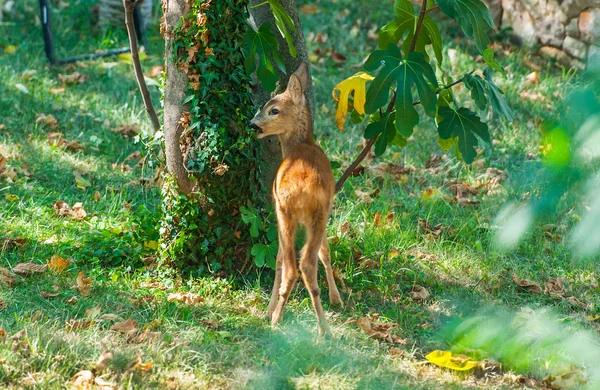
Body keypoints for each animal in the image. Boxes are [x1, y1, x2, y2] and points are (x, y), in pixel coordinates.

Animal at [248, 62, 342, 336]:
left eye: (273, 110)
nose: (252, 124)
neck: (302, 144)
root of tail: (301, 188)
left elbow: (279, 260)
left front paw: (269, 310)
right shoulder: (327, 209)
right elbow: (325, 251)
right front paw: (336, 298)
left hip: (286, 212)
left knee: (292, 265)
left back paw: (279, 318)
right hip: (315, 214)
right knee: (307, 262)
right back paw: (323, 328)